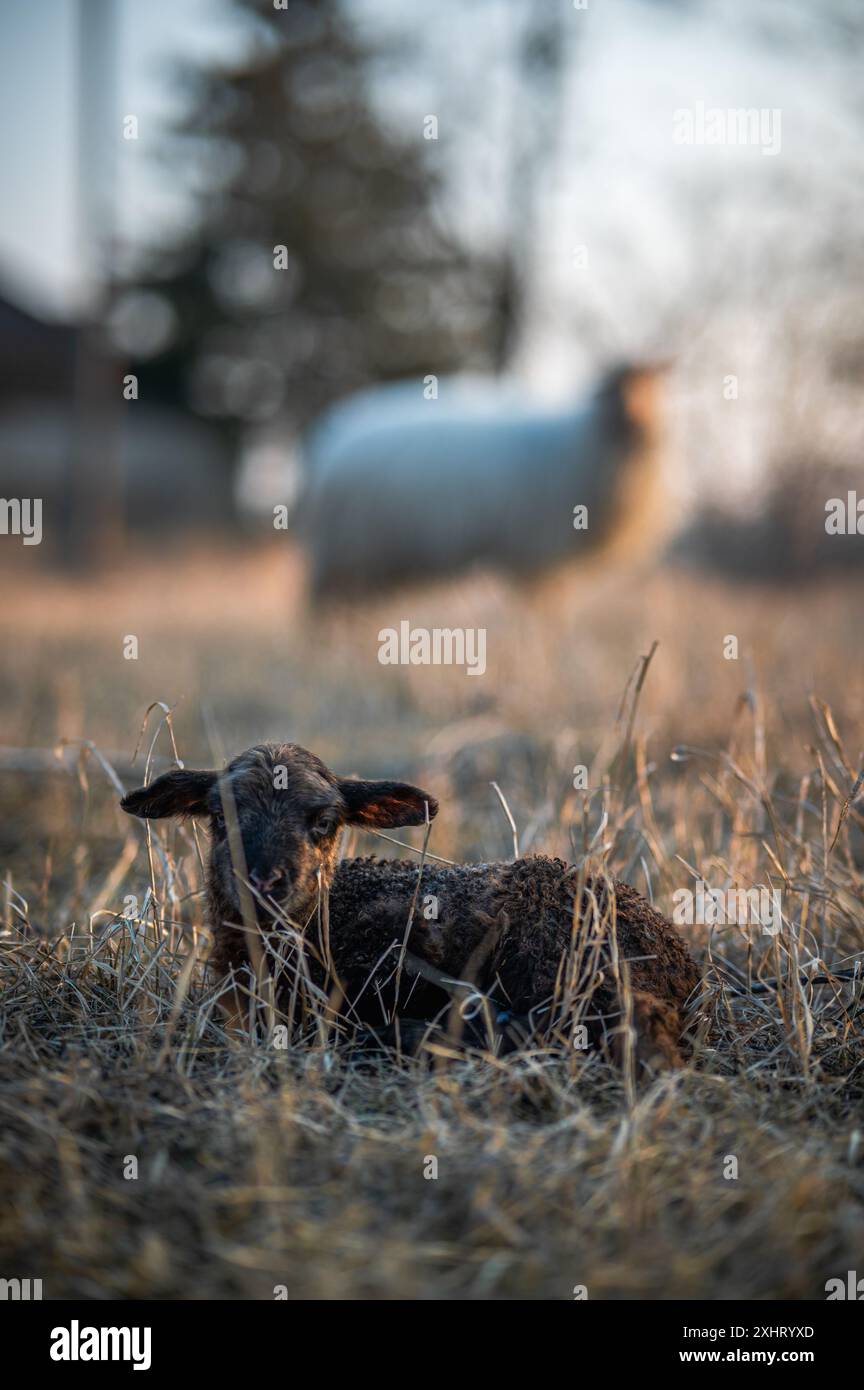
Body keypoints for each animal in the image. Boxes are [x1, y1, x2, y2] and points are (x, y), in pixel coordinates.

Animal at [297, 363, 670, 598]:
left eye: (656, 383)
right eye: (617, 386)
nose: (638, 420)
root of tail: (329, 441)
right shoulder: (533, 554)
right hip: (345, 552)